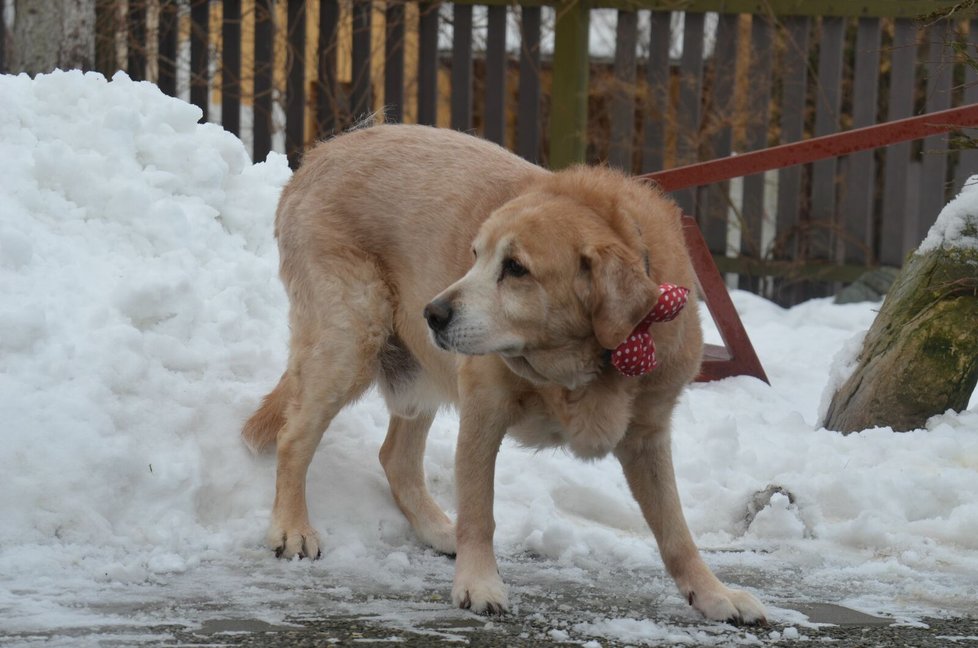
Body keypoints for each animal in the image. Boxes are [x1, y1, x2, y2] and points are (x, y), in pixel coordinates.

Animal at [242, 124, 764, 624]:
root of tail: (319, 155)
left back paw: (437, 530)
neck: (586, 362)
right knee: (295, 437)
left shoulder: (647, 437)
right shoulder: (484, 410)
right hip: (350, 340)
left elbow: (676, 532)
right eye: (475, 255)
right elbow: (480, 512)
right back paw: (292, 527)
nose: (431, 313)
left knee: (395, 458)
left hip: (416, 374)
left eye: (515, 268)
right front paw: (478, 584)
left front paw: (714, 595)